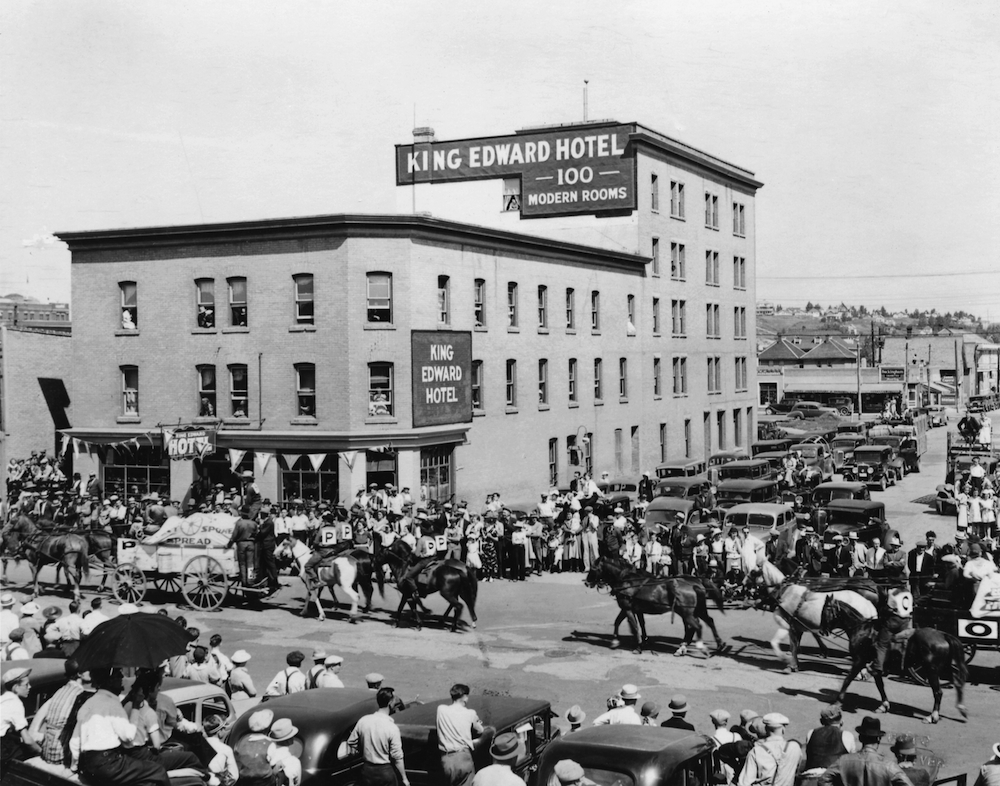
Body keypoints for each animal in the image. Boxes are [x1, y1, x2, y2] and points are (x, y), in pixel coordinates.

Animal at [584, 556, 732, 660]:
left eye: (593, 568)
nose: (586, 582)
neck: (628, 581)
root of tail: (696, 583)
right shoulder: (633, 609)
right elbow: (626, 623)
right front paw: (616, 641)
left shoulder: (628, 609)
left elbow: (634, 627)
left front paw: (638, 646)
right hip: (695, 610)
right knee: (707, 622)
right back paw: (717, 645)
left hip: (687, 612)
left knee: (696, 626)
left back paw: (698, 648)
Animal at [820, 596, 968, 724]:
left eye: (826, 610)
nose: (821, 630)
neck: (862, 630)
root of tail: (944, 635)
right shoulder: (875, 666)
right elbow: (880, 685)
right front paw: (884, 705)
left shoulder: (859, 661)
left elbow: (847, 680)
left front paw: (837, 701)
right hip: (944, 668)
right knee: (957, 682)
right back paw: (961, 708)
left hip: (931, 670)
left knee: (938, 692)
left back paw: (932, 716)